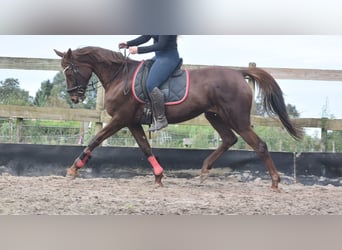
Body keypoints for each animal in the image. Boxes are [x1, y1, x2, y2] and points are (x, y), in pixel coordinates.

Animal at [54, 46, 302, 191]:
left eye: (69, 70)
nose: (75, 97)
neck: (119, 76)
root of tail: (238, 73)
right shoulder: (132, 122)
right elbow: (145, 148)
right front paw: (158, 176)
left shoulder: (121, 118)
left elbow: (95, 140)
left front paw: (73, 170)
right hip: (214, 115)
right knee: (228, 139)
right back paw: (204, 171)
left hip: (236, 118)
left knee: (259, 145)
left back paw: (275, 182)